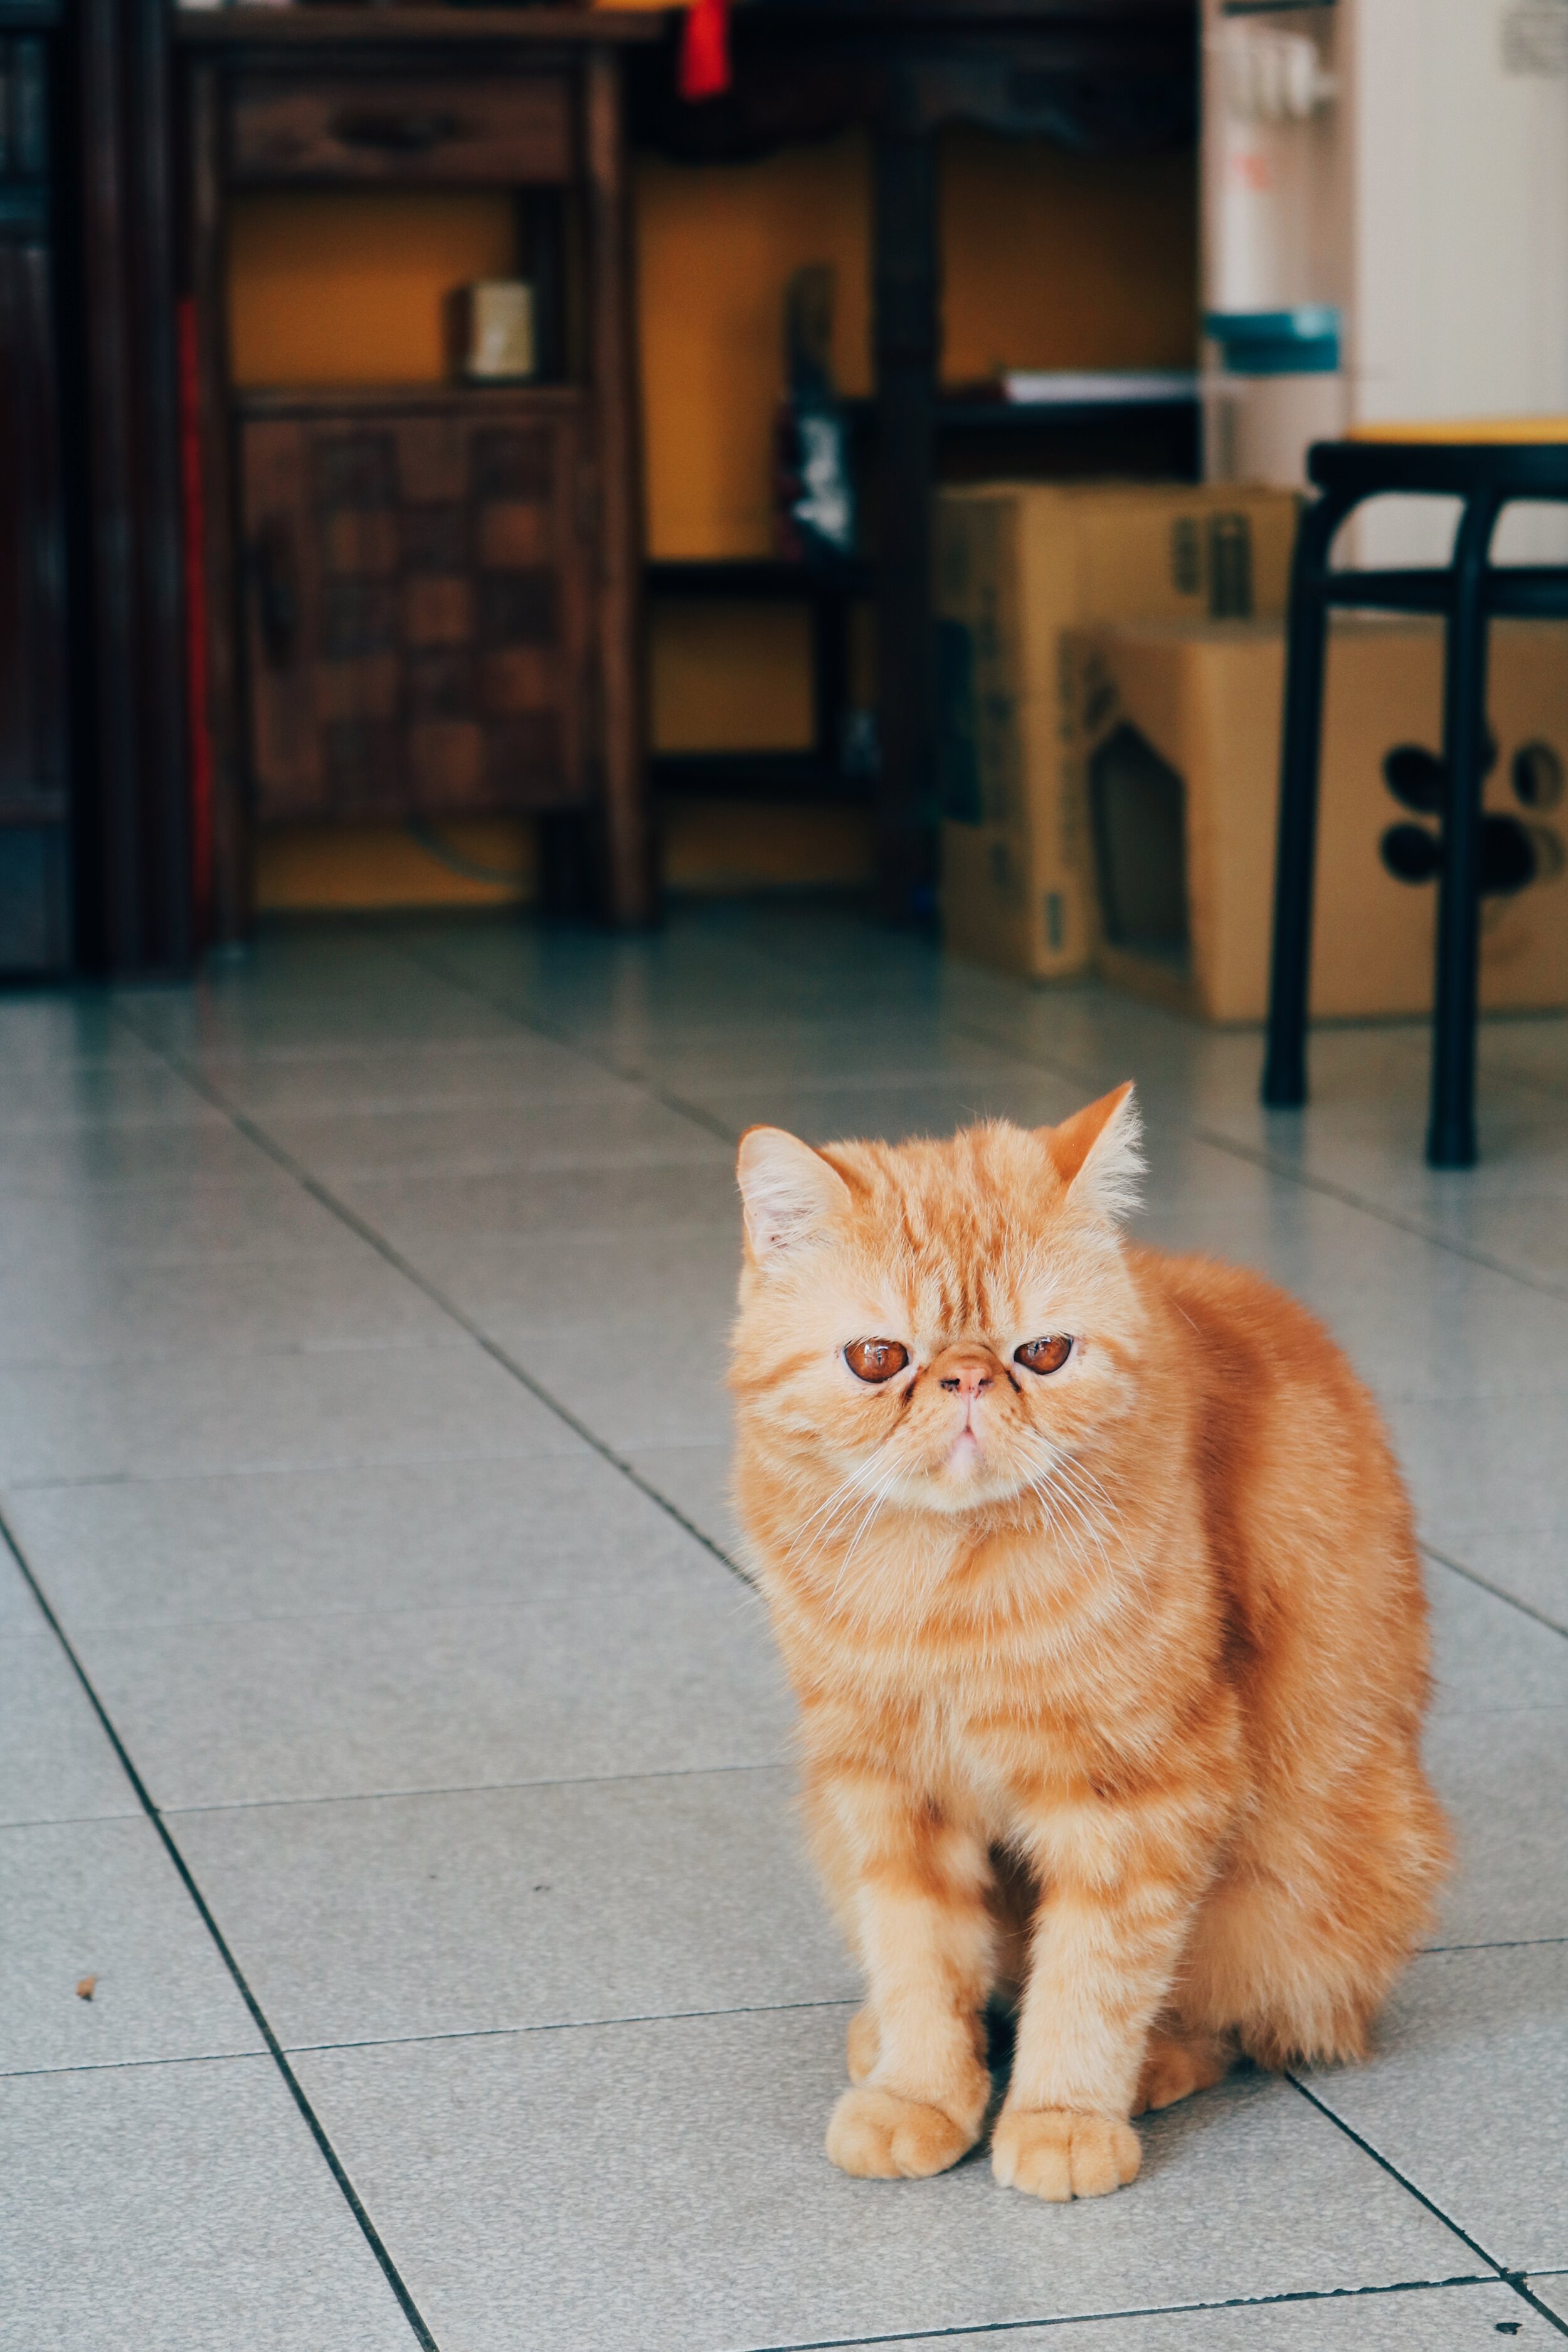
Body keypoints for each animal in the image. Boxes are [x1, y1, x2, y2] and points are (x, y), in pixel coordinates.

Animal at [730, 1083, 1449, 2202]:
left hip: (1297, 1883)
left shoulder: (1143, 1791)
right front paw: (922, 2091)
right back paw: (890, 2042)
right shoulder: (884, 1786)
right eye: (879, 1358)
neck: (945, 1591)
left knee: (1243, 2018)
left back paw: (1146, 2067)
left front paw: (1062, 2114)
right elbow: (920, 1955)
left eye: (1043, 1354)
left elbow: (1095, 1970)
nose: (969, 1380)